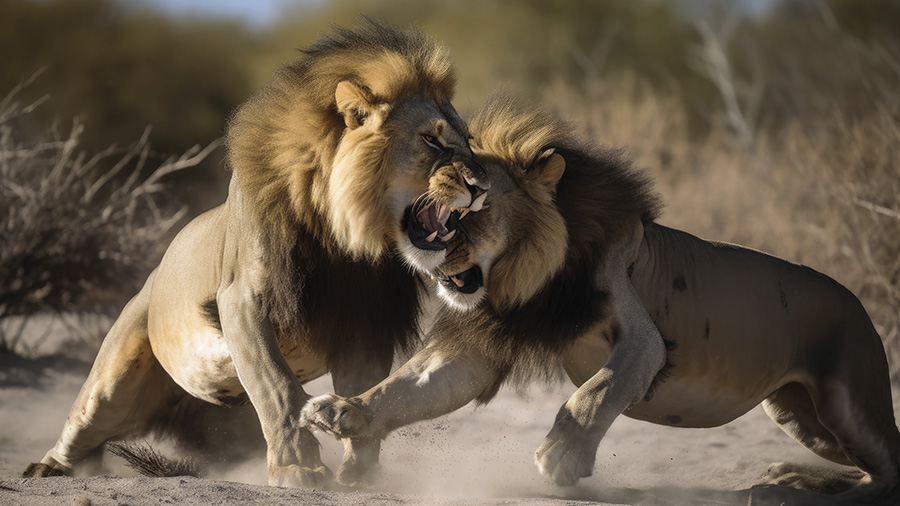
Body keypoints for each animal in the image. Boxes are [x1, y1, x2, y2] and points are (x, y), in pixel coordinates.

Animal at [23, 21, 489, 488]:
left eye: (467, 142)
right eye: (431, 140)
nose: (483, 186)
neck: (343, 237)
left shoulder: (365, 322)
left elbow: (364, 392)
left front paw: (360, 473)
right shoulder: (243, 297)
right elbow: (277, 389)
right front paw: (297, 467)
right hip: (116, 372)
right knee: (84, 423)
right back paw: (46, 468)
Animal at [300, 94, 900, 502]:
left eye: (480, 205)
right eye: (436, 205)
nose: (437, 257)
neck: (523, 283)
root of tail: (860, 306)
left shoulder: (643, 337)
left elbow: (595, 392)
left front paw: (562, 455)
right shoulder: (477, 347)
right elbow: (408, 387)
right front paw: (345, 411)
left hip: (846, 402)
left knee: (887, 475)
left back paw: (786, 489)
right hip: (796, 413)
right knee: (871, 467)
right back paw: (790, 477)